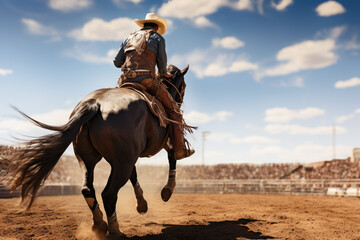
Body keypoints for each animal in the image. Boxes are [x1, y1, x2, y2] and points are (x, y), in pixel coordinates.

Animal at [5, 64, 190, 237]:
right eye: (184, 85)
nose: (179, 101)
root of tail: (95, 103)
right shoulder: (164, 143)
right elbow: (173, 157)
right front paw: (166, 191)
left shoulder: (130, 156)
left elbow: (135, 175)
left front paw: (142, 205)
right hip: (121, 162)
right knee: (108, 194)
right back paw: (115, 230)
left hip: (88, 158)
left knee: (88, 189)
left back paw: (99, 225)